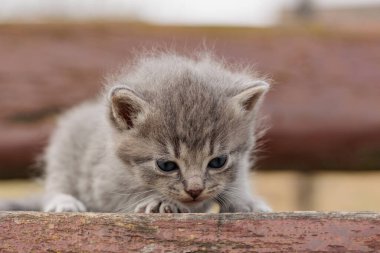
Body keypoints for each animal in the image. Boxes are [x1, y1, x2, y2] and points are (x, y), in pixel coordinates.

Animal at [3, 52, 270, 213]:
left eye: (218, 161)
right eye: (166, 165)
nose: (194, 190)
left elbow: (237, 181)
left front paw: (246, 202)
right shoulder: (101, 183)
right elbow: (122, 199)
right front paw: (158, 201)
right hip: (65, 150)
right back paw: (64, 202)